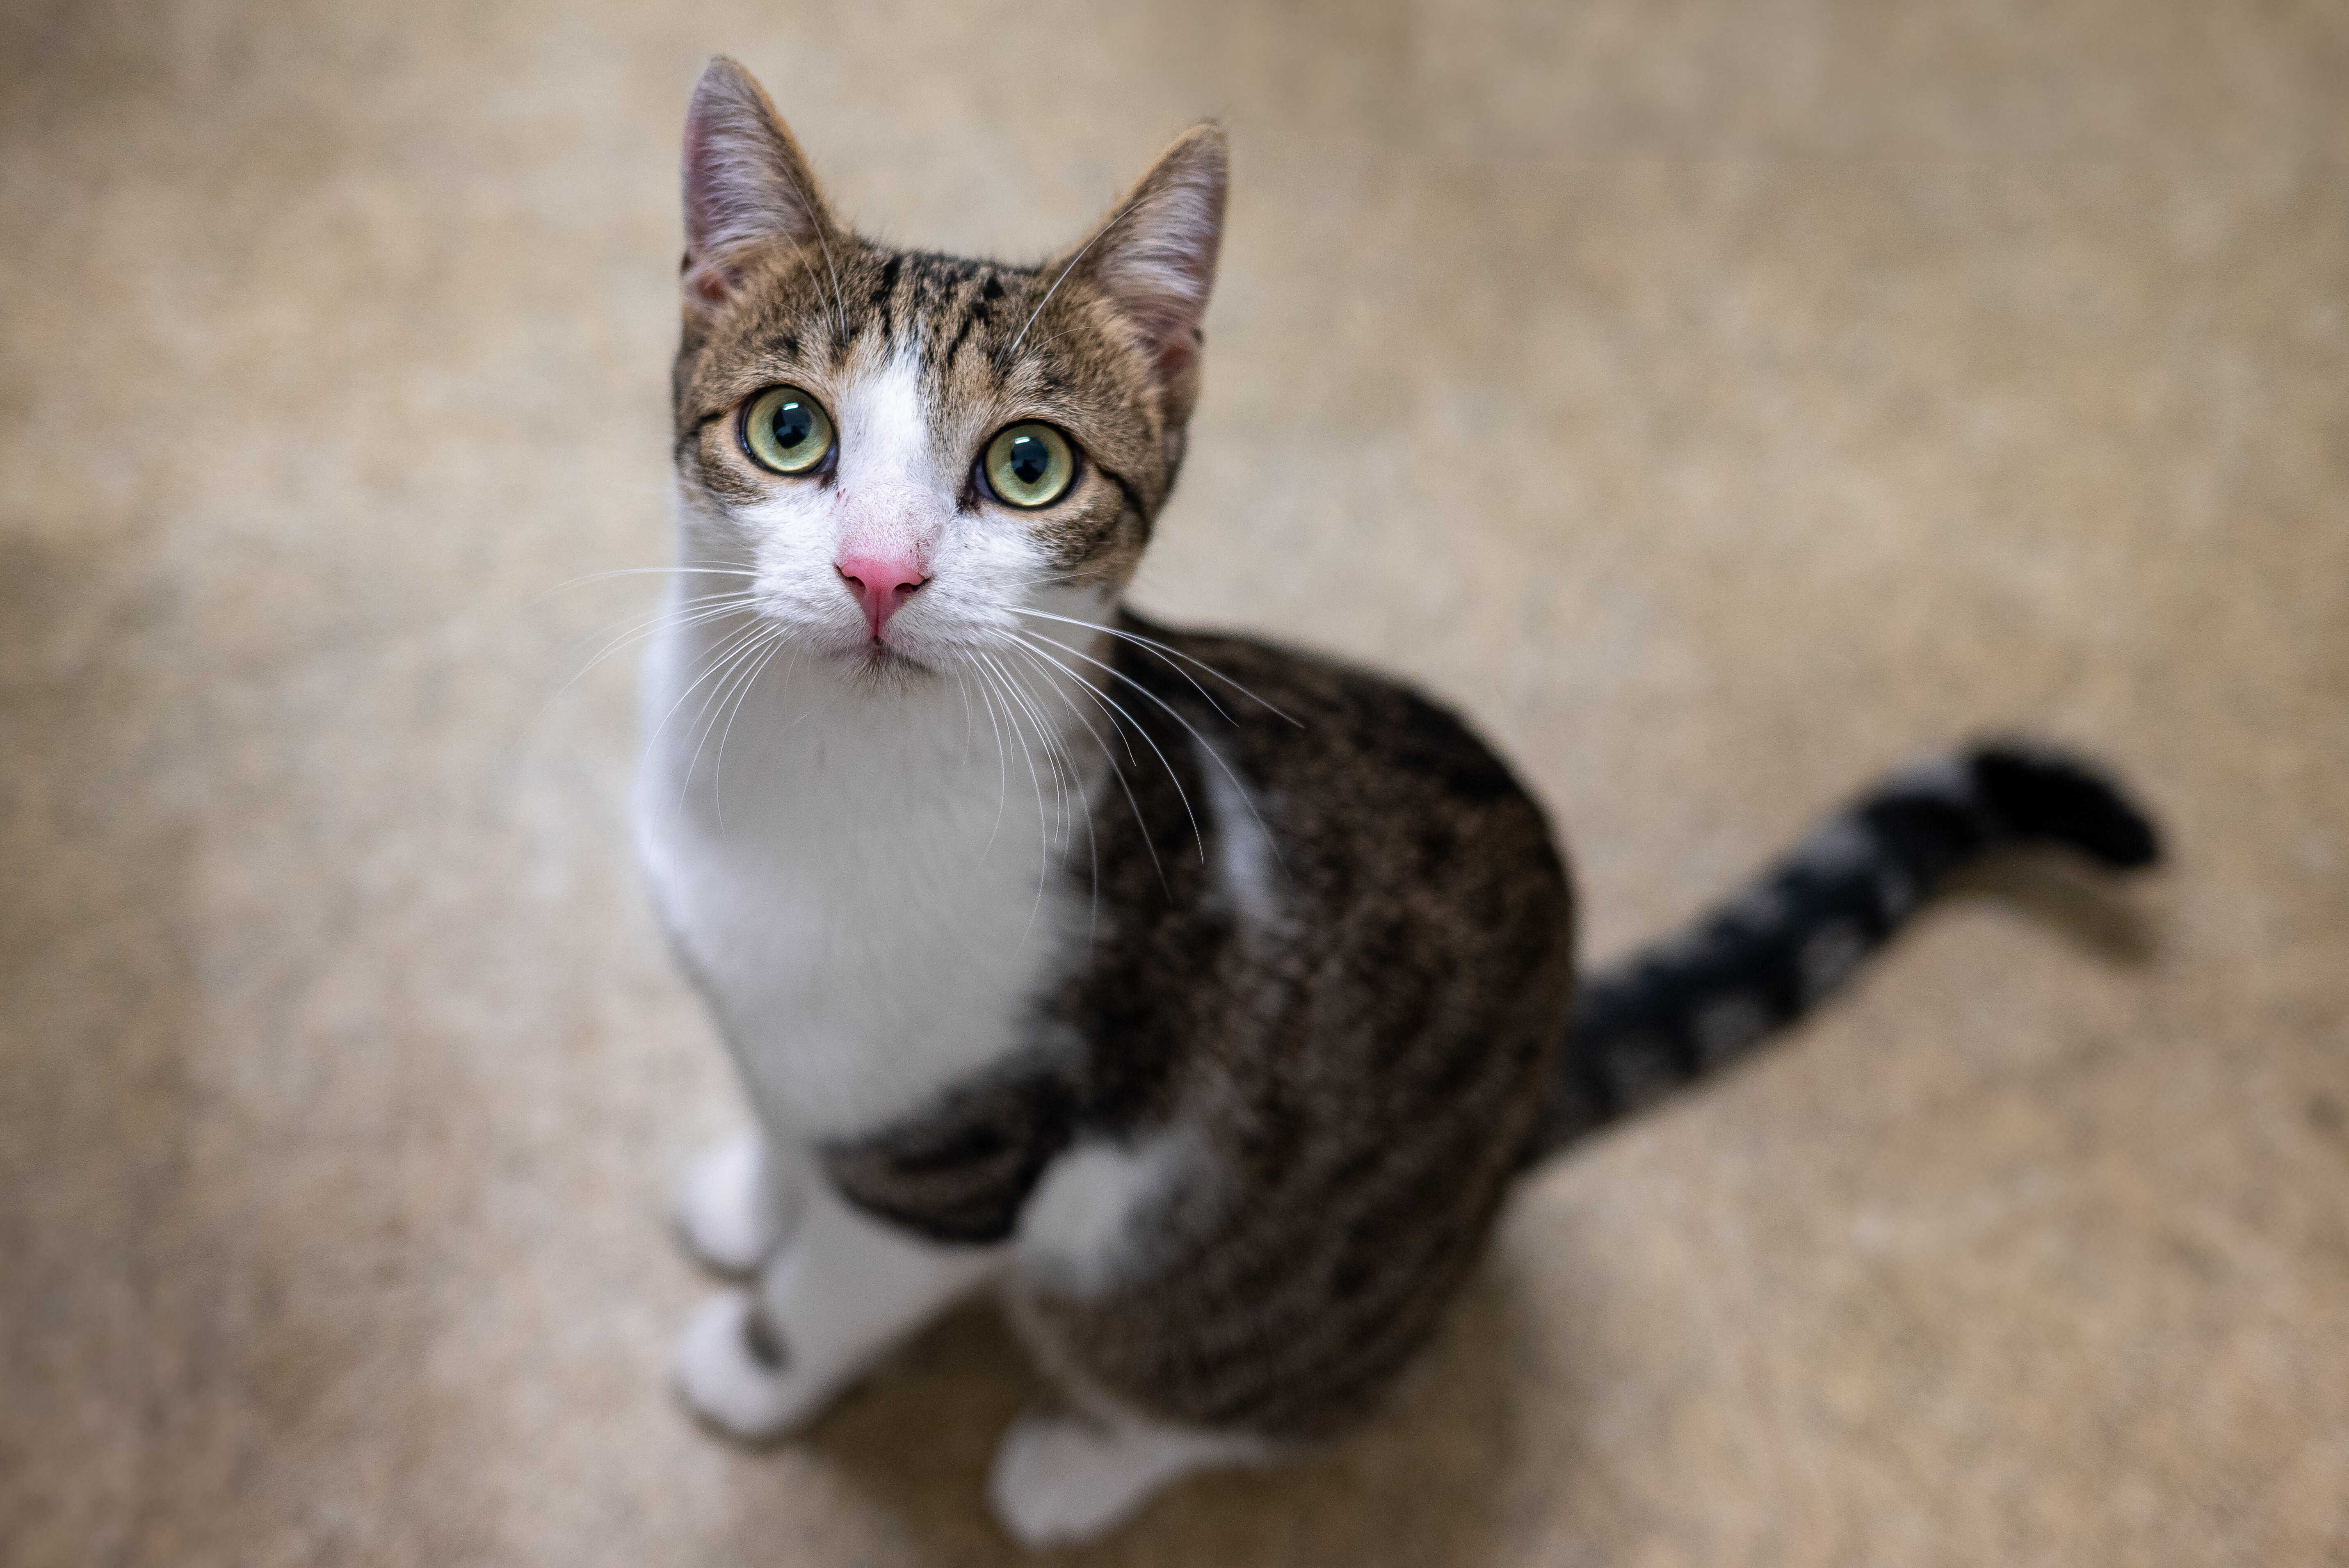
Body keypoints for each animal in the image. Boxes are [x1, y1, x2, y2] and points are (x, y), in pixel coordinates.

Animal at [632, 57, 2161, 1547]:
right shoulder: (789, 1033)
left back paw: (1080, 1465)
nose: (880, 573)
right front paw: (756, 1192)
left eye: (1027, 465)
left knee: (1253, 1378)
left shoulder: (967, 1160)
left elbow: (838, 1288)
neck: (813, 785)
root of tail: (1526, 1099)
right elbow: (788, 1115)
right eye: (787, 427)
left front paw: (750, 1363)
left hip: (1237, 1290)